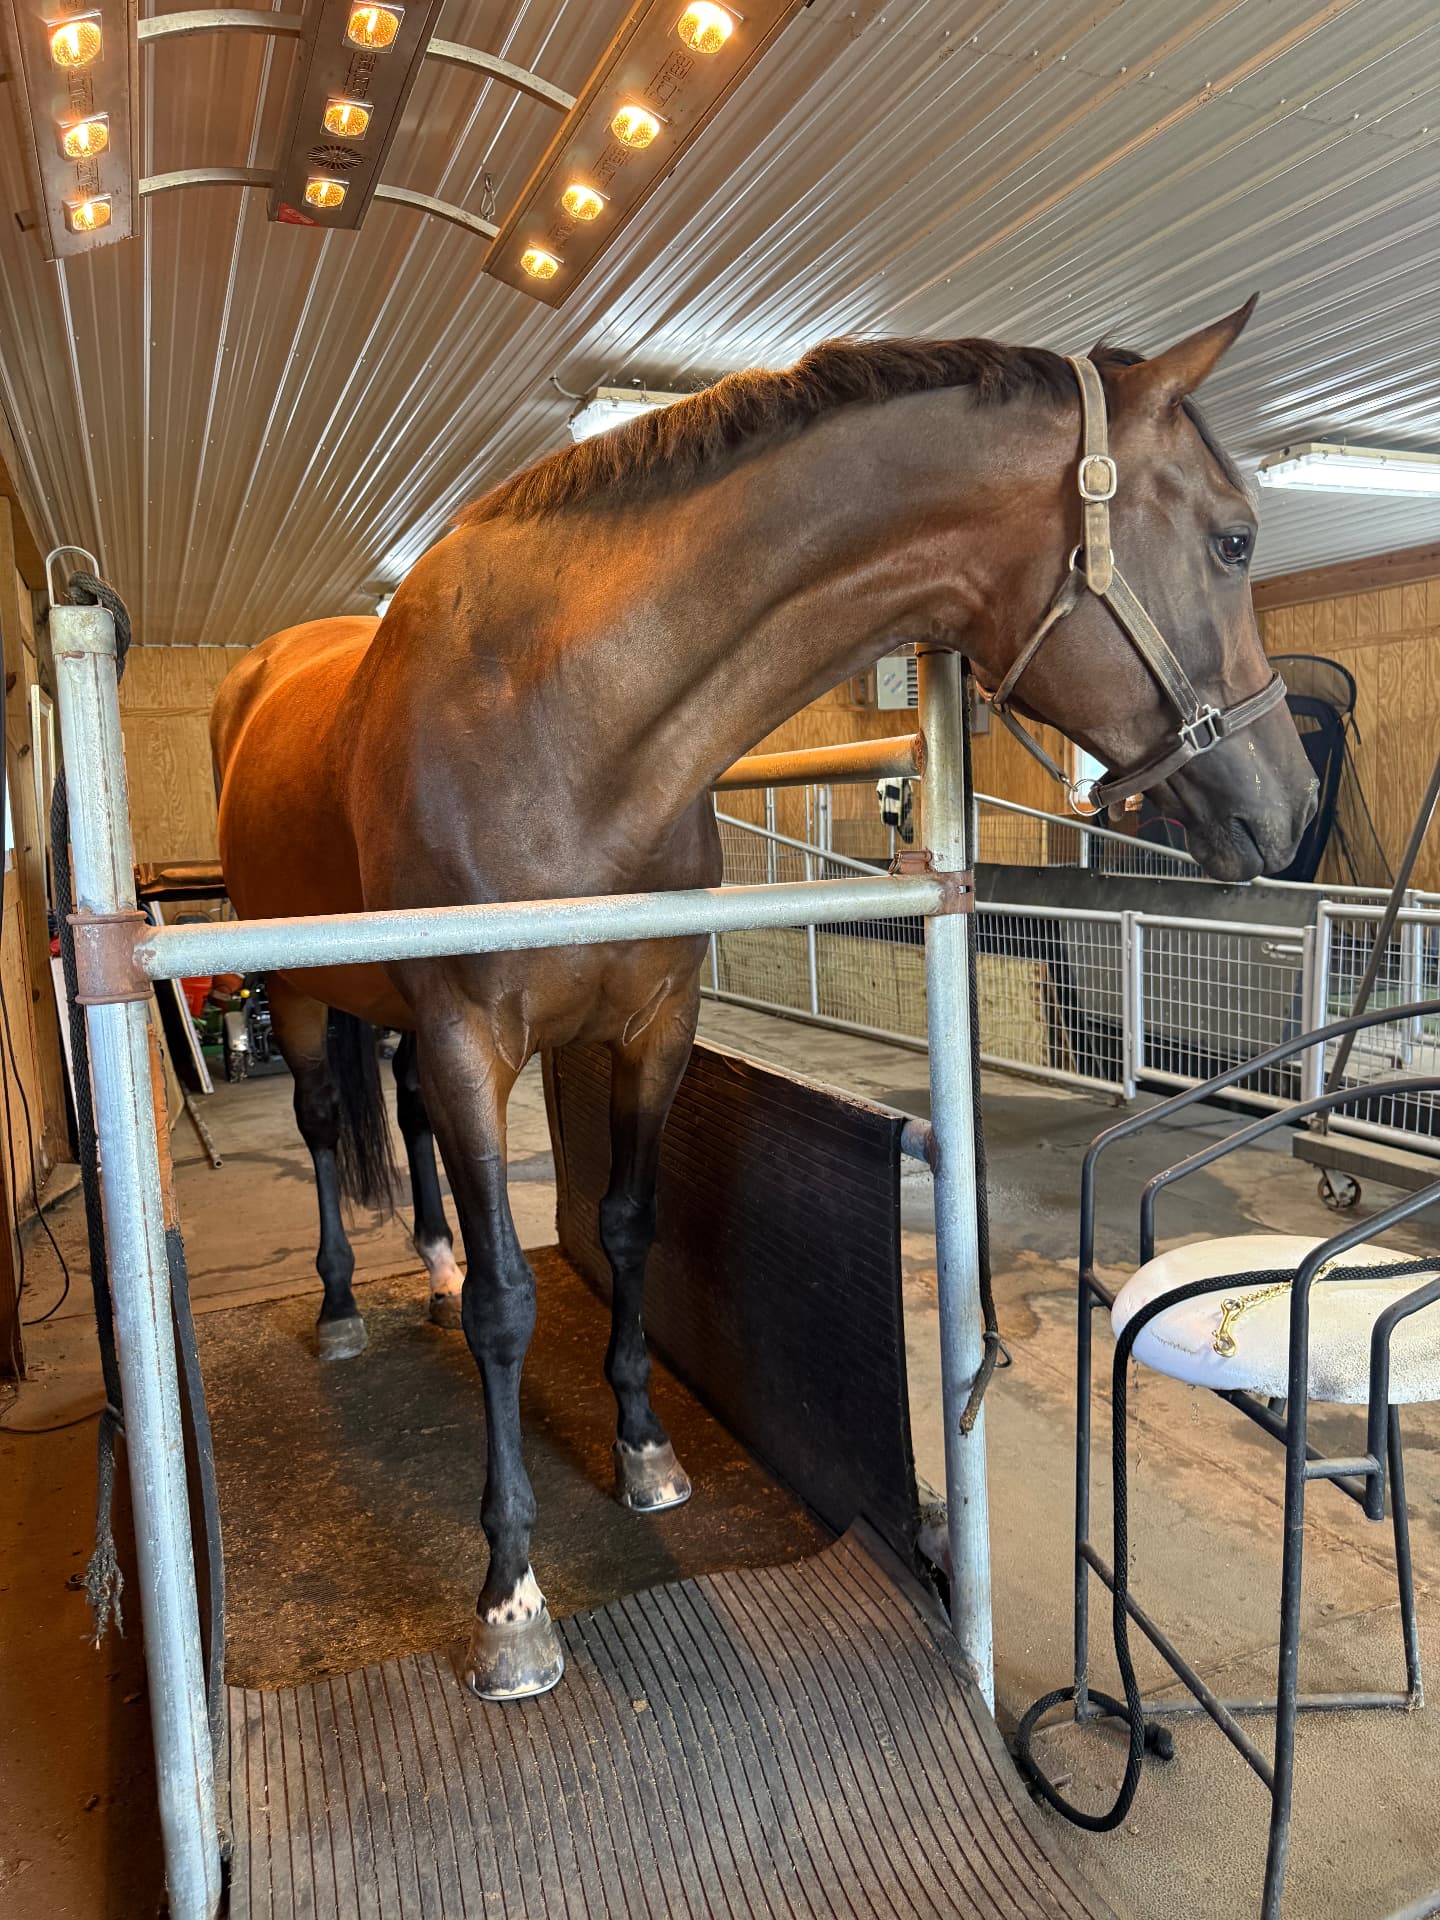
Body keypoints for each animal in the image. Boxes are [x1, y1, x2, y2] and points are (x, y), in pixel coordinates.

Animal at [211, 299, 1317, 1699]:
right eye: (1233, 538)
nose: (1293, 809)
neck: (562, 720)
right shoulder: (470, 1041)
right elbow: (512, 1308)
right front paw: (512, 1597)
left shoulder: (653, 1026)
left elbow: (630, 1229)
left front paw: (643, 1454)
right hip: (302, 998)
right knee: (319, 1132)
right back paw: (347, 1308)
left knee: (402, 1127)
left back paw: (430, 1263)